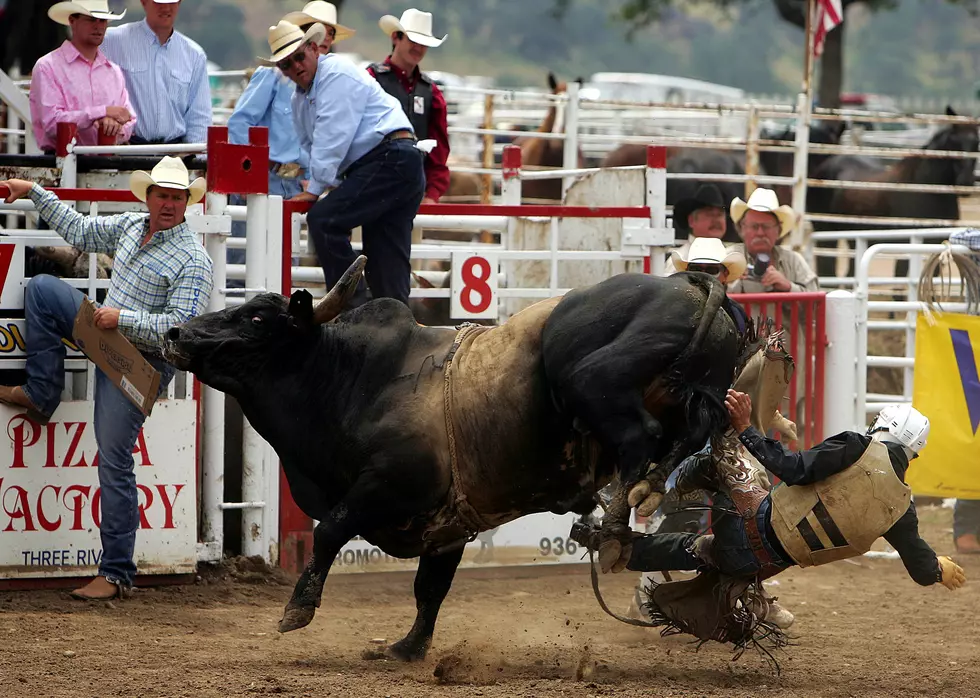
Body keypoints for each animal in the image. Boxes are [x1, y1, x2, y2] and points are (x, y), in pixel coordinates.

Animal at [165, 256, 740, 656]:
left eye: (257, 318)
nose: (178, 332)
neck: (356, 379)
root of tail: (689, 283)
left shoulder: (386, 484)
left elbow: (330, 531)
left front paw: (297, 609)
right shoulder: (449, 528)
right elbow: (430, 589)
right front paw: (408, 648)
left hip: (592, 377)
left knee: (641, 436)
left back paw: (618, 520)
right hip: (696, 391)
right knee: (686, 435)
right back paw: (639, 500)